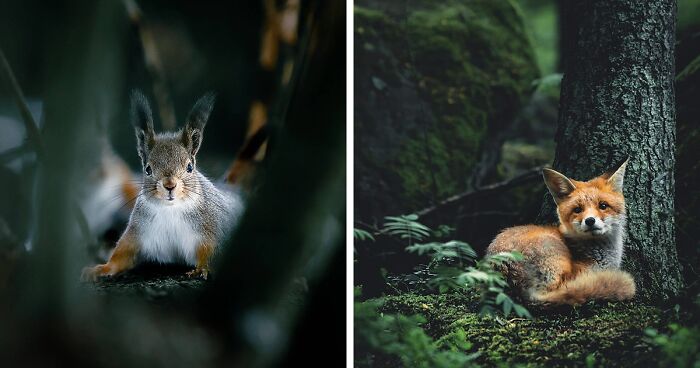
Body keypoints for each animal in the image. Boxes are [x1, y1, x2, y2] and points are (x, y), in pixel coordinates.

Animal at [81, 90, 245, 280]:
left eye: (190, 167)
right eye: (147, 169)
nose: (169, 185)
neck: (170, 209)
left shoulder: (210, 230)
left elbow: (211, 251)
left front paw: (201, 268)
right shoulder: (138, 232)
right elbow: (122, 254)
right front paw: (101, 268)